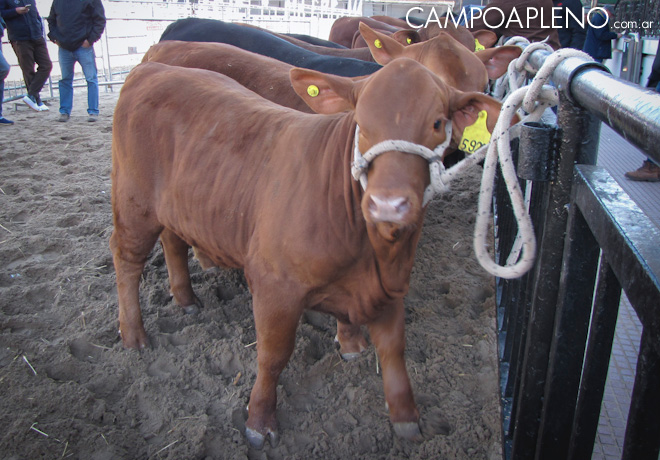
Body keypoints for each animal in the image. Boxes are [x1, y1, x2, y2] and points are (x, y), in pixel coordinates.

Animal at [112, 58, 506, 450]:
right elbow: (273, 355)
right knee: (126, 260)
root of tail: (154, 68)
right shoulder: (274, 285)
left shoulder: (389, 285)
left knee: (173, 241)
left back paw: (186, 299)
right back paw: (133, 334)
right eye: (361, 122)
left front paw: (403, 413)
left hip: (174, 207)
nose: (387, 205)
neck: (372, 252)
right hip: (134, 204)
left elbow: (393, 349)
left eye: (437, 123)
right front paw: (259, 420)